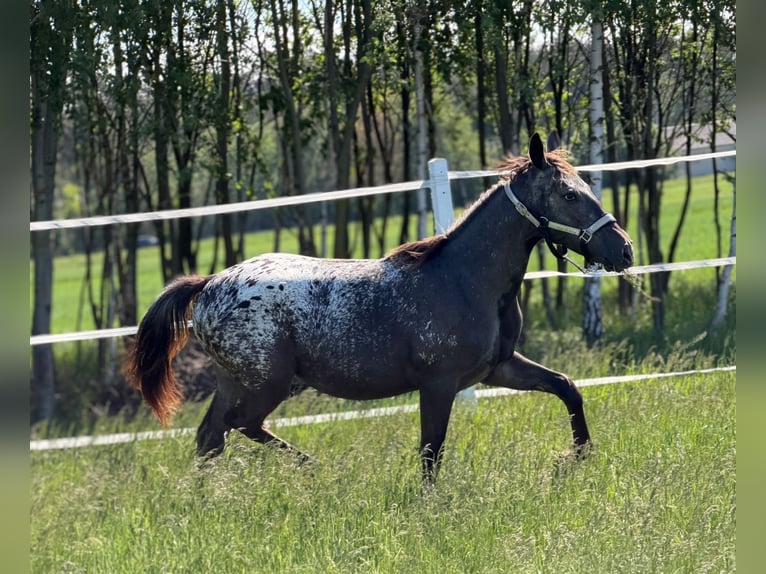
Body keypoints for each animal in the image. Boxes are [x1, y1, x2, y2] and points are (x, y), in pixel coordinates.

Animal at [124, 133, 634, 481]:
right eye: (569, 194)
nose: (624, 249)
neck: (465, 281)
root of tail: (210, 284)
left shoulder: (498, 368)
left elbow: (566, 387)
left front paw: (578, 455)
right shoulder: (439, 384)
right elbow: (431, 450)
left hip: (237, 381)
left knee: (211, 437)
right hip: (269, 383)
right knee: (240, 425)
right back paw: (317, 470)